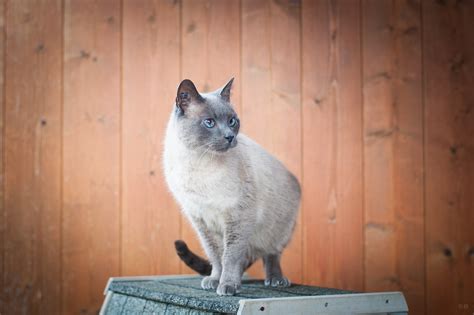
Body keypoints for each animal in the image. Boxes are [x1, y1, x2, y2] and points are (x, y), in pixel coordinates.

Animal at [163, 78, 300, 296]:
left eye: (232, 121)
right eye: (209, 122)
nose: (229, 136)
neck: (199, 163)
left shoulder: (237, 217)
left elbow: (230, 257)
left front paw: (227, 285)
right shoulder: (202, 221)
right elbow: (216, 256)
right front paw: (215, 280)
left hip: (279, 228)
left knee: (271, 254)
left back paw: (275, 280)